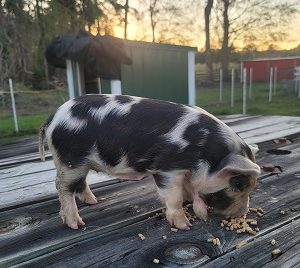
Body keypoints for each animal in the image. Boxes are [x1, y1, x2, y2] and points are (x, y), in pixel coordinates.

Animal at [39, 94, 260, 230]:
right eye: (238, 183)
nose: (243, 213)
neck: (203, 149)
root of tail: (51, 119)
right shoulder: (168, 167)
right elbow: (173, 197)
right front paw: (184, 225)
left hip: (79, 163)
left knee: (80, 183)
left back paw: (94, 201)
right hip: (70, 161)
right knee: (63, 187)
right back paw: (77, 224)